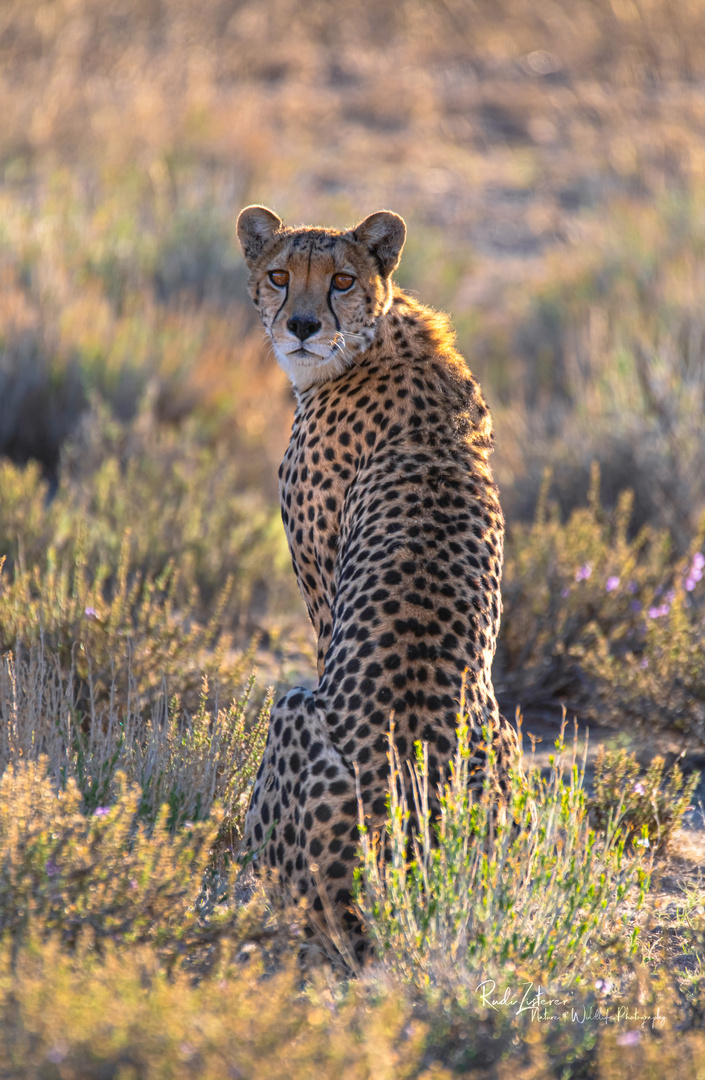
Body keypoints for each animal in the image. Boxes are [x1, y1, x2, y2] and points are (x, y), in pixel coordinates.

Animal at [236, 206, 516, 959]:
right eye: (280, 275)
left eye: (340, 279)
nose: (303, 325)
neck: (372, 339)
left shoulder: (319, 595)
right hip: (505, 734)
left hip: (293, 711)